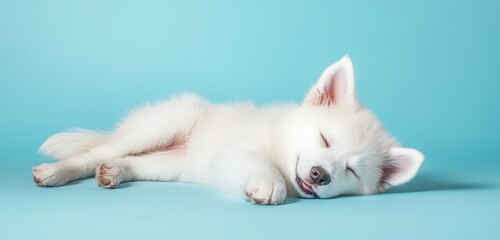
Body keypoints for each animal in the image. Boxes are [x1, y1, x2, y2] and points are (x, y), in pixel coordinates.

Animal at [34, 56, 426, 204]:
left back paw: (114, 172)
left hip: (172, 165)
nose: (319, 174)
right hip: (165, 123)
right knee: (95, 153)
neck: (281, 142)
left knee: (129, 161)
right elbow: (268, 169)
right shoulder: (238, 153)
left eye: (351, 170)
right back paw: (55, 172)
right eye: (324, 138)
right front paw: (270, 185)